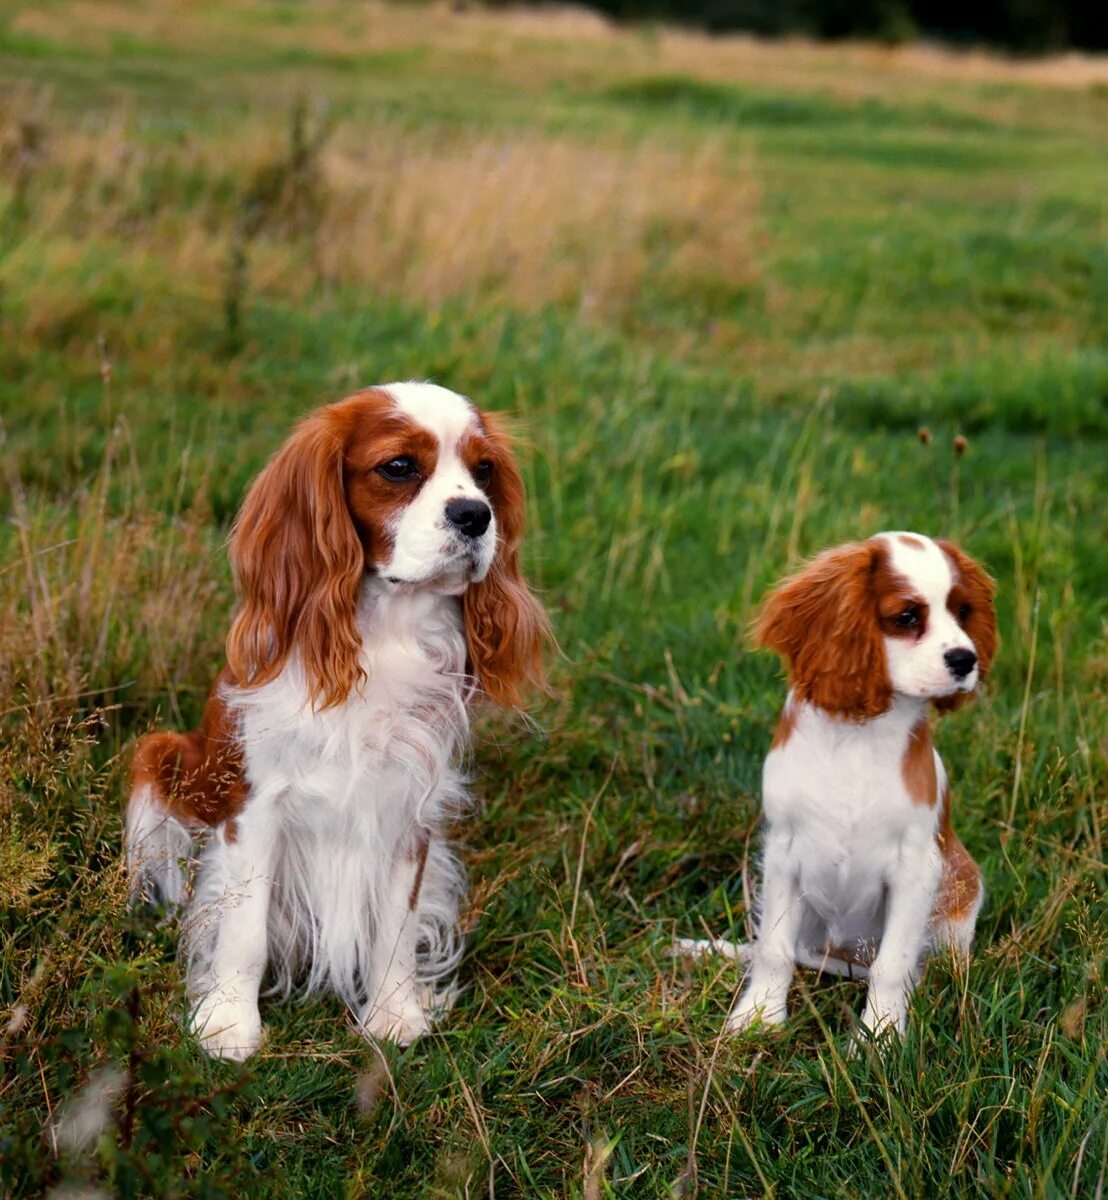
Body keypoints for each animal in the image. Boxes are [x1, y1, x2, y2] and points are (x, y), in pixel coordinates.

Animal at [125, 381, 549, 1060]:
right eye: (398, 467)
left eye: (484, 471)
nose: (475, 515)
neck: (383, 635)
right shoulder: (254, 808)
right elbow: (243, 928)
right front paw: (228, 1023)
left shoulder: (409, 809)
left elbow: (396, 925)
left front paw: (394, 1013)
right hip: (159, 753)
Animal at [681, 530, 998, 1036]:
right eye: (907, 617)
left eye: (962, 611)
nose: (966, 659)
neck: (859, 734)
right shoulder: (784, 853)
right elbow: (774, 949)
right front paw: (759, 1016)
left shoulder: (916, 866)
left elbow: (893, 966)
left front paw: (881, 1035)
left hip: (961, 889)